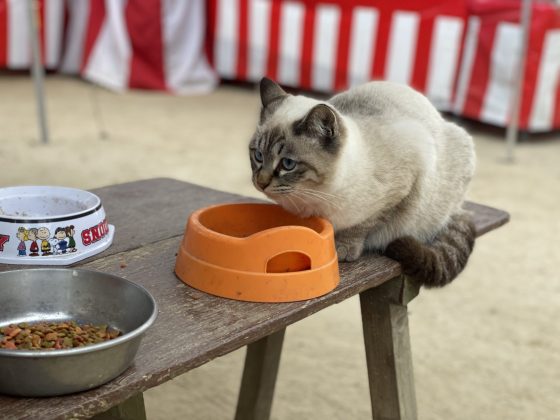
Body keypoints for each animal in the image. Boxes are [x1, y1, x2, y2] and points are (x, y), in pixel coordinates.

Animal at [249, 77, 476, 288]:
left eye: (287, 164)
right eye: (258, 156)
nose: (261, 183)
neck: (316, 195)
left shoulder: (400, 188)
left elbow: (362, 225)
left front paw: (343, 248)